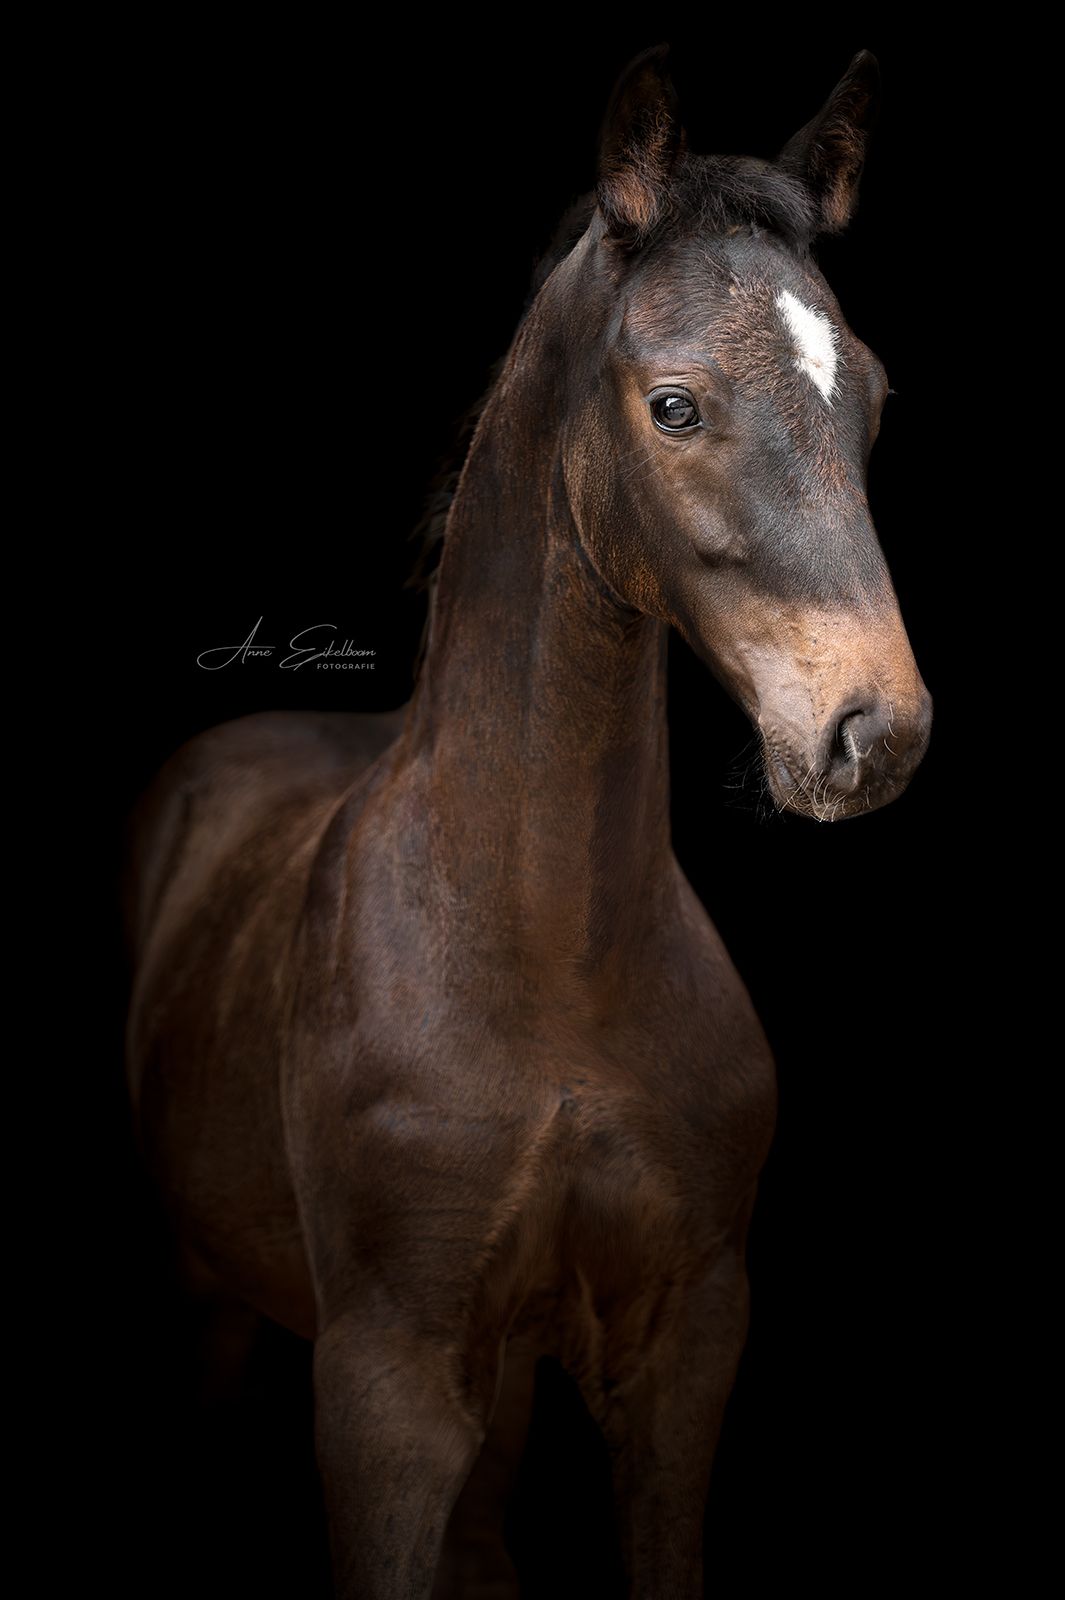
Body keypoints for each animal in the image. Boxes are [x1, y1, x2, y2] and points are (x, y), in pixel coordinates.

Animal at [122, 44, 932, 1599]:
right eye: (673, 404)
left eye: (868, 393)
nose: (876, 732)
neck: (549, 965)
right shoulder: (383, 1380)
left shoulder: (687, 1348)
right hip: (209, 1304)